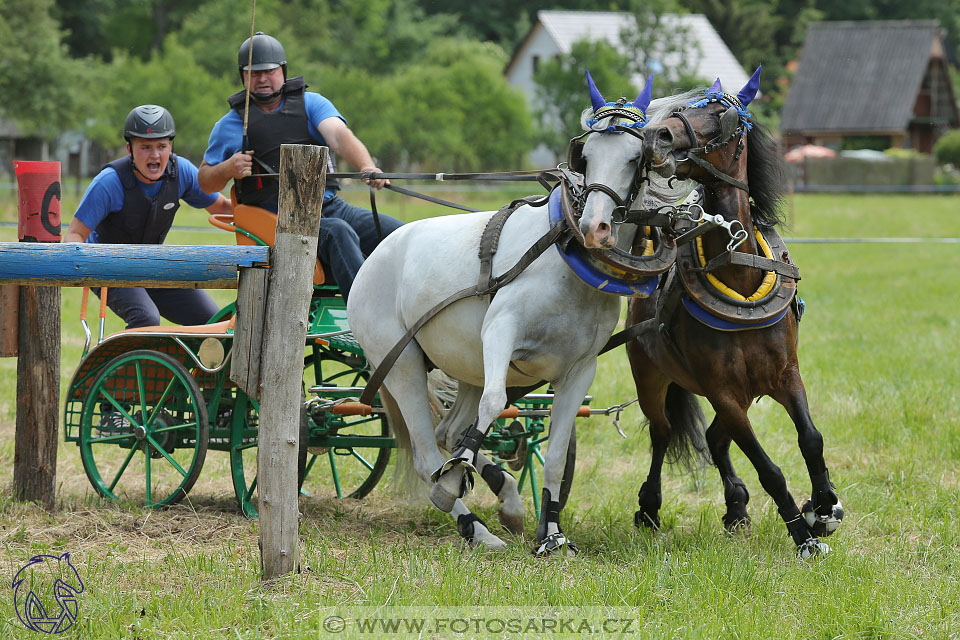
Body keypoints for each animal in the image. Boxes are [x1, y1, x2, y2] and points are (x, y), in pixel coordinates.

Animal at [348, 72, 656, 552]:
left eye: (634, 156)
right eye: (585, 156)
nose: (594, 227)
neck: (567, 263)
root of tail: (377, 253)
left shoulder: (580, 369)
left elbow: (554, 454)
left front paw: (552, 535)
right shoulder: (500, 332)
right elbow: (494, 404)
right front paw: (452, 482)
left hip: (465, 364)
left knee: (449, 432)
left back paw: (504, 502)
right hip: (400, 364)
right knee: (427, 452)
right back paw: (473, 525)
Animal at [632, 69, 840, 556]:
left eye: (717, 114)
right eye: (676, 110)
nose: (654, 137)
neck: (740, 275)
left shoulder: (785, 374)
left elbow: (811, 439)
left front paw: (824, 507)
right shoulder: (723, 390)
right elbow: (769, 469)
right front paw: (802, 533)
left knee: (712, 438)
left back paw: (736, 507)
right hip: (653, 377)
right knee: (662, 432)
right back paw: (649, 507)